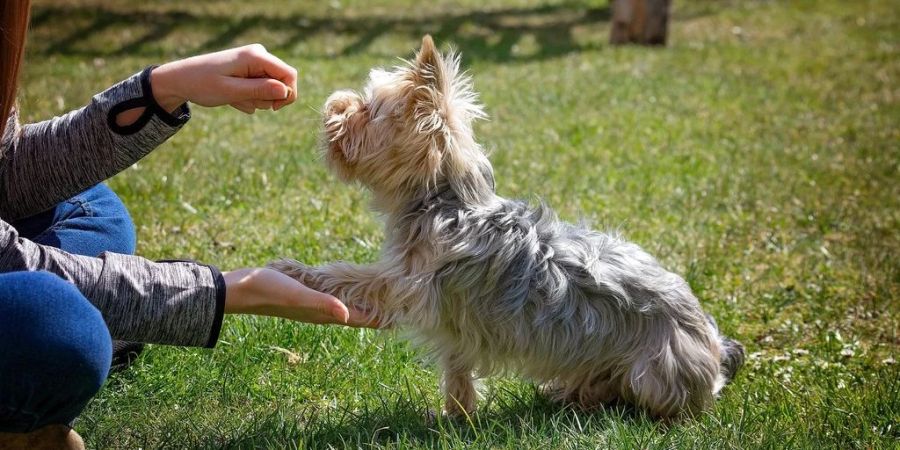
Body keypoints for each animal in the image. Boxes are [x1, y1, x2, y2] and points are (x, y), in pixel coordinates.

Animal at [268, 36, 744, 422]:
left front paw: (293, 271)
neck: (443, 200)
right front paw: (456, 417)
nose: (334, 105)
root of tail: (713, 344)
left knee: (654, 402)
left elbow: (350, 276)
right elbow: (458, 371)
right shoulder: (452, 324)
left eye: (367, 110)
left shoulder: (407, 284)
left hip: (655, 371)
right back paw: (569, 393)